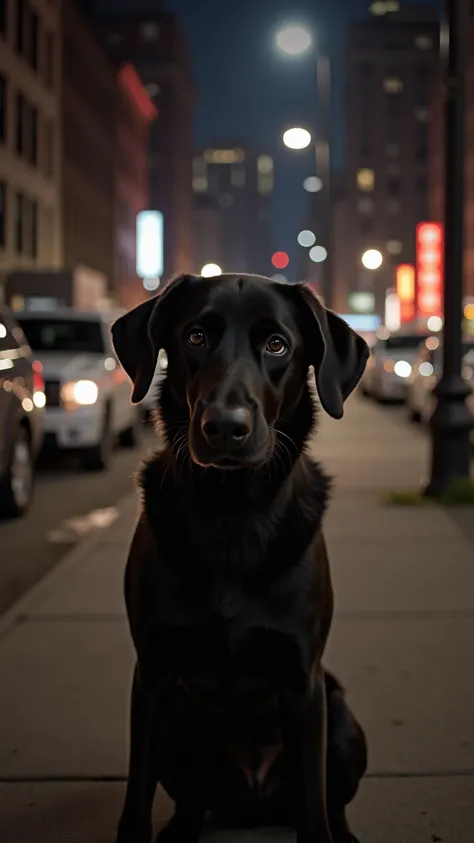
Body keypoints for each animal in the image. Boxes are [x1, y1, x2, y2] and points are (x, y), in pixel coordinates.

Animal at [112, 274, 370, 840]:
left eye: (277, 345)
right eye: (195, 337)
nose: (225, 426)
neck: (233, 515)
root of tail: (255, 798)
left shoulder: (303, 681)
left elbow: (315, 810)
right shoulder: (153, 676)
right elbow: (135, 800)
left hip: (340, 714)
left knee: (333, 802)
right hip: (180, 725)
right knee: (191, 801)